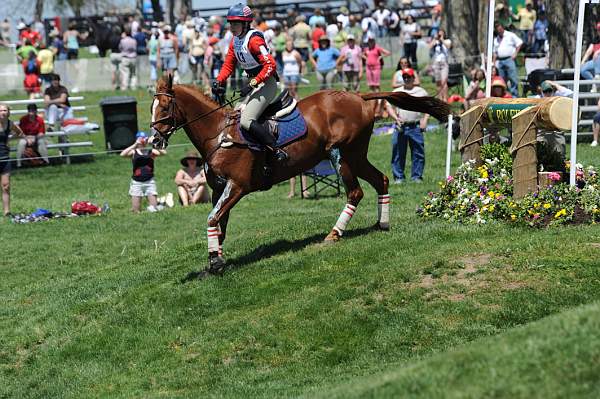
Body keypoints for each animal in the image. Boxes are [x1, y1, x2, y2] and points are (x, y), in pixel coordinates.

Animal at [150, 75, 450, 276]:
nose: (154, 140)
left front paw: (215, 263)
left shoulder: (237, 187)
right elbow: (219, 225)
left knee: (355, 192)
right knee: (381, 181)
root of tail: (358, 96)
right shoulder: (218, 189)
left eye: (164, 107)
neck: (218, 134)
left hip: (341, 155)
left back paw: (334, 234)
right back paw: (382, 224)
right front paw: (216, 259)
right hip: (357, 156)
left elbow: (213, 219)